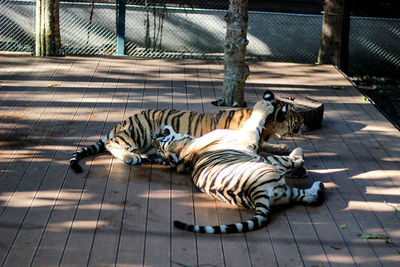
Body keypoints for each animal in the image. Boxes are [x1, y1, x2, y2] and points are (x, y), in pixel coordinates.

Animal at [69, 90, 302, 174]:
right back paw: (130, 156)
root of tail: (125, 121)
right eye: (295, 113)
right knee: (112, 143)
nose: (302, 122)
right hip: (139, 131)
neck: (269, 128)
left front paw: (281, 146)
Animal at [153, 99, 324, 234]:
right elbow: (253, 122)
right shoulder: (247, 136)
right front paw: (263, 105)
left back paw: (318, 187)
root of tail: (256, 194)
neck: (187, 151)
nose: (155, 135)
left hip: (284, 193)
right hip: (268, 166)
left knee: (311, 197)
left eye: (160, 141)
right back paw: (298, 157)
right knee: (290, 160)